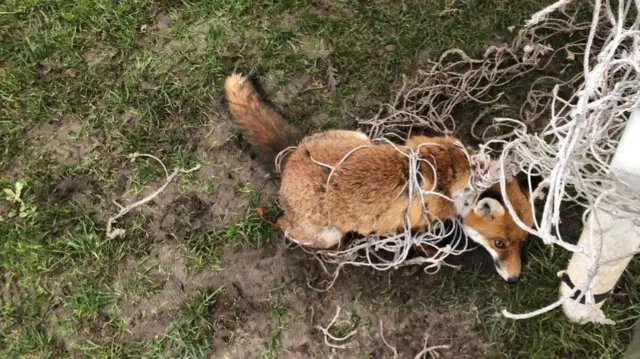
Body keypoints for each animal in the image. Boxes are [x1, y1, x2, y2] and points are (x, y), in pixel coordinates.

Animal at [224, 71, 540, 282]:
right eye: (500, 244)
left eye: (523, 242)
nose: (514, 279)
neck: (453, 177)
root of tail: (292, 157)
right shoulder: (420, 220)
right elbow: (423, 239)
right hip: (327, 234)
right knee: (282, 225)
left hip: (360, 139)